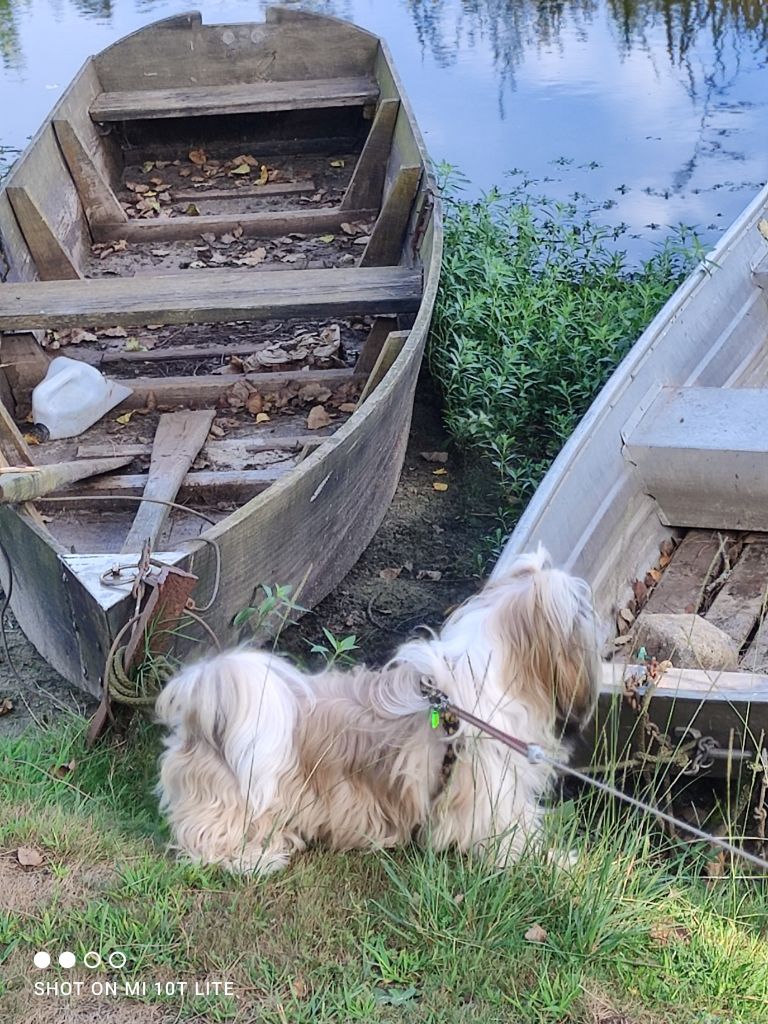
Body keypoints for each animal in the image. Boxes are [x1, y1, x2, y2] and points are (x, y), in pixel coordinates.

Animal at [156, 548, 602, 876]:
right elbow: (514, 839)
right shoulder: (492, 797)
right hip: (237, 797)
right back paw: (256, 859)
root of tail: (202, 706)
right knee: (205, 843)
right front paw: (561, 865)